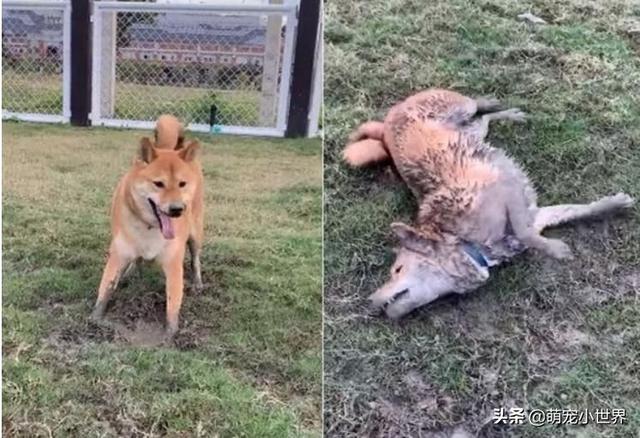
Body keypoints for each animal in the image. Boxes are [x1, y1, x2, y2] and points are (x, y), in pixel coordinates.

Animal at [90, 114, 204, 338]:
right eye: (158, 184)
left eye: (182, 184)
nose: (177, 209)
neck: (151, 227)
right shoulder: (118, 254)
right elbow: (106, 287)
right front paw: (94, 319)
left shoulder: (173, 264)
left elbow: (173, 301)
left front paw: (170, 334)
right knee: (137, 260)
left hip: (195, 235)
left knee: (195, 259)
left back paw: (197, 282)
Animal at [342, 89, 632, 320]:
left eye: (397, 270)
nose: (369, 301)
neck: (466, 242)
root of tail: (385, 124)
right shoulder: (532, 215)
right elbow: (570, 212)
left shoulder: (508, 191)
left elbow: (553, 220)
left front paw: (561, 245)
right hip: (474, 130)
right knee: (483, 118)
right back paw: (510, 113)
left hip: (459, 109)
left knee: (476, 106)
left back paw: (495, 104)